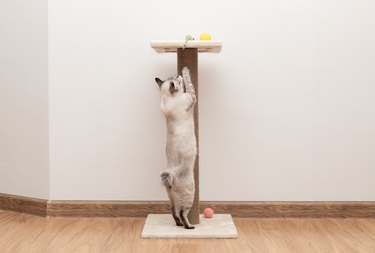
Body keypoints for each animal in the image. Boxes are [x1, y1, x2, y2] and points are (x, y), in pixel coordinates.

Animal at [155, 66, 197, 228]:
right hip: (190, 194)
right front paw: (186, 70)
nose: (178, 73)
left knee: (174, 213)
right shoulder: (191, 96)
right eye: (176, 78)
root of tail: (171, 174)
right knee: (183, 213)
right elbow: (189, 83)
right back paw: (190, 227)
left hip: (171, 199)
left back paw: (179, 225)